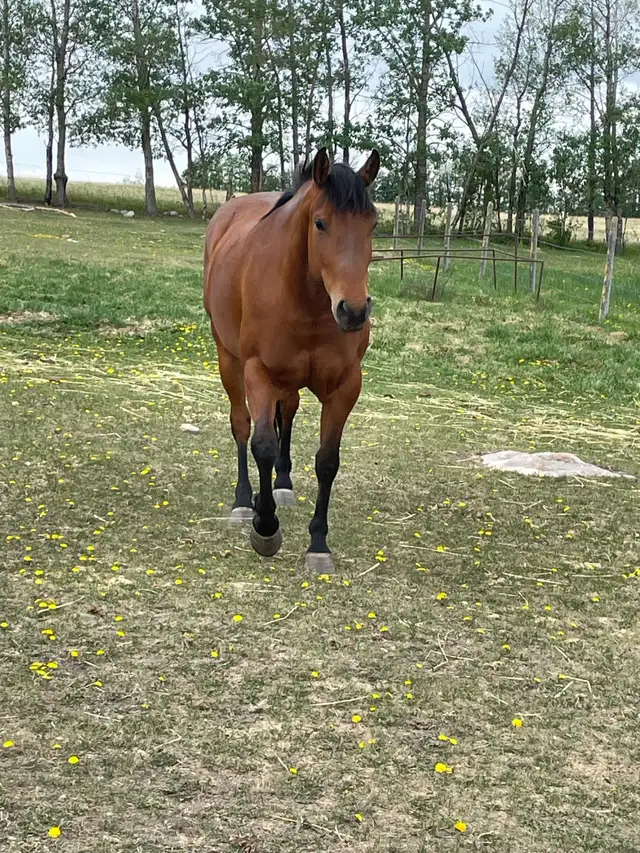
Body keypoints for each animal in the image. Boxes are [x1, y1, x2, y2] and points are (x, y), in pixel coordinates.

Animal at [203, 146, 380, 571]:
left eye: (373, 226)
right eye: (320, 223)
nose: (353, 311)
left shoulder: (346, 386)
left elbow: (327, 460)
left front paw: (318, 544)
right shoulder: (259, 373)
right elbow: (263, 444)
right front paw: (265, 527)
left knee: (289, 412)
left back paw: (281, 484)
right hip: (228, 358)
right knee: (241, 425)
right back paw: (243, 500)